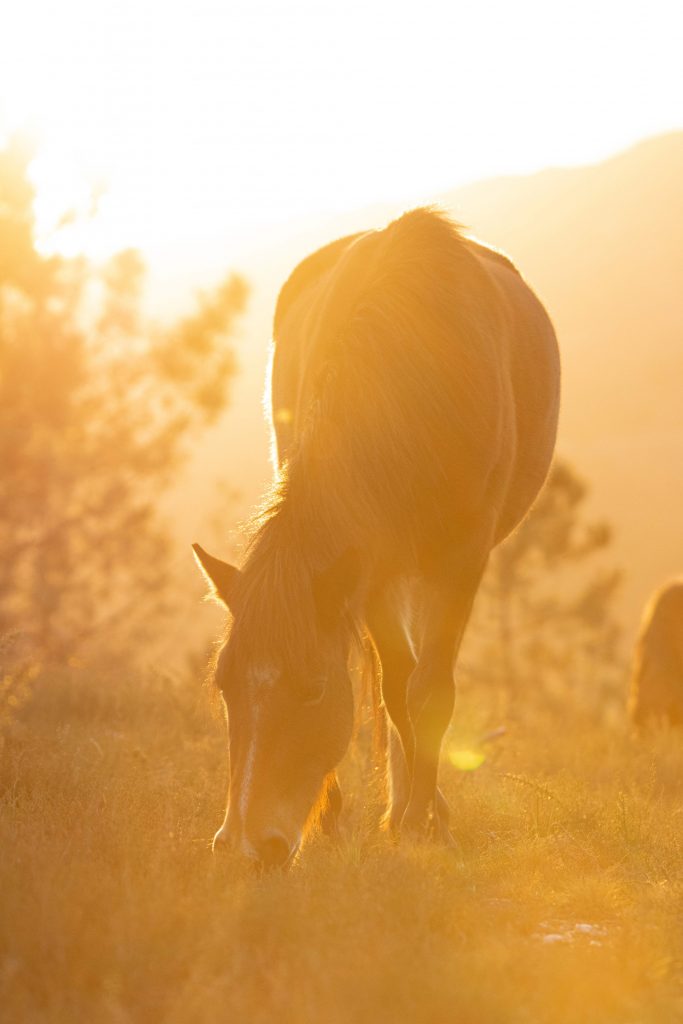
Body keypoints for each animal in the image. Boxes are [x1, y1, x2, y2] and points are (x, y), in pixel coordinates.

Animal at [194, 207, 560, 867]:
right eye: (224, 685)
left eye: (312, 690)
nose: (245, 846)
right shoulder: (373, 567)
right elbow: (395, 688)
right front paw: (411, 814)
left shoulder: (459, 561)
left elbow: (429, 691)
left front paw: (422, 824)